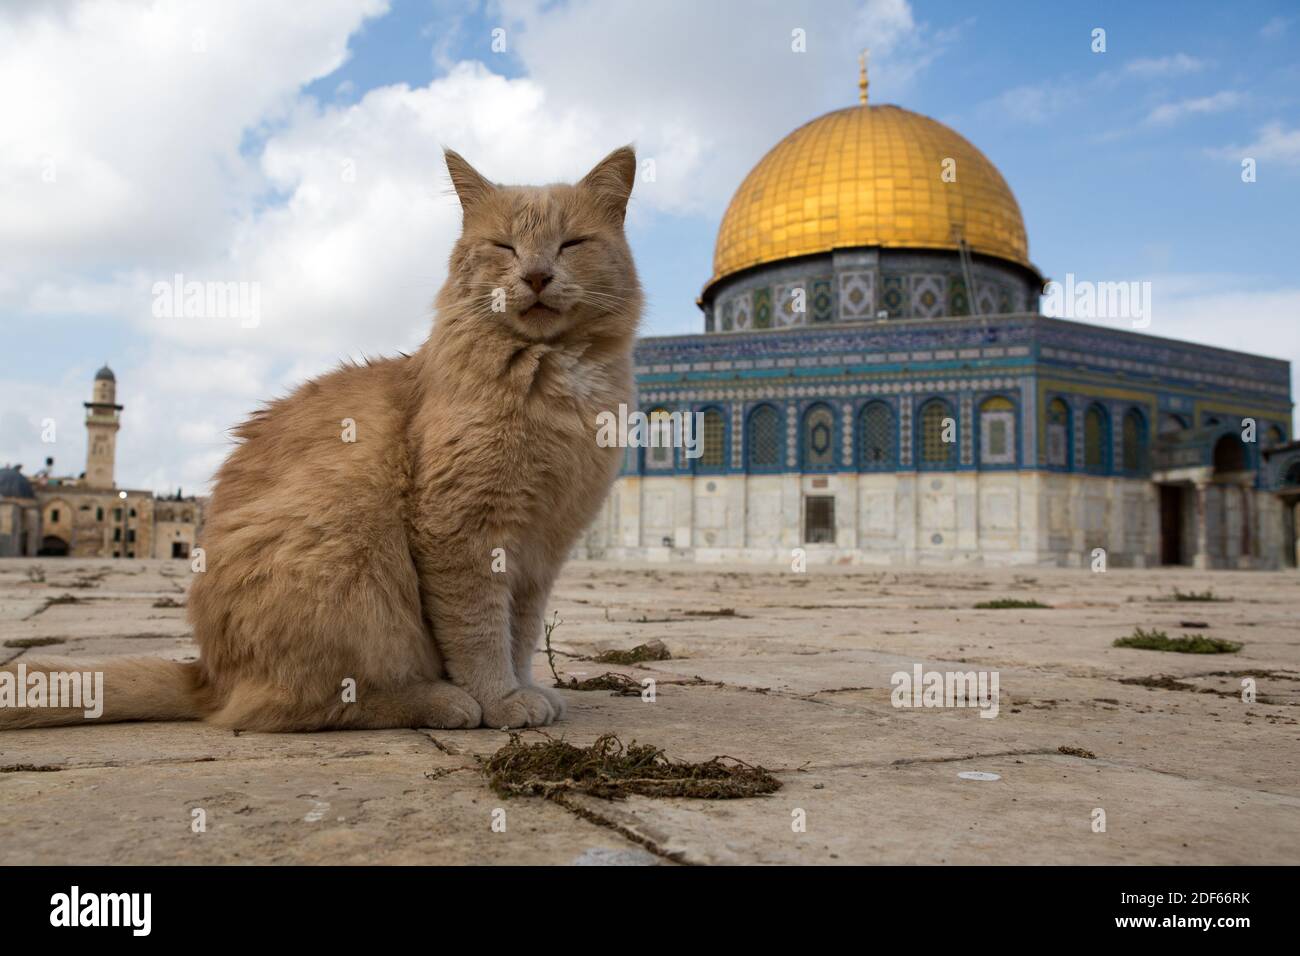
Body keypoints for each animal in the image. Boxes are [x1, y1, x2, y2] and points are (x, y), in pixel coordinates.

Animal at [2, 147, 642, 733]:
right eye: (504, 247)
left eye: (572, 244)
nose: (536, 275)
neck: (554, 382)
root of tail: (207, 676)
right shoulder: (463, 532)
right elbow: (479, 633)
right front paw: (500, 700)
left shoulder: (541, 550)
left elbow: (521, 634)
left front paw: (525, 687)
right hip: (346, 546)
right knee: (296, 707)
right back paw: (439, 702)